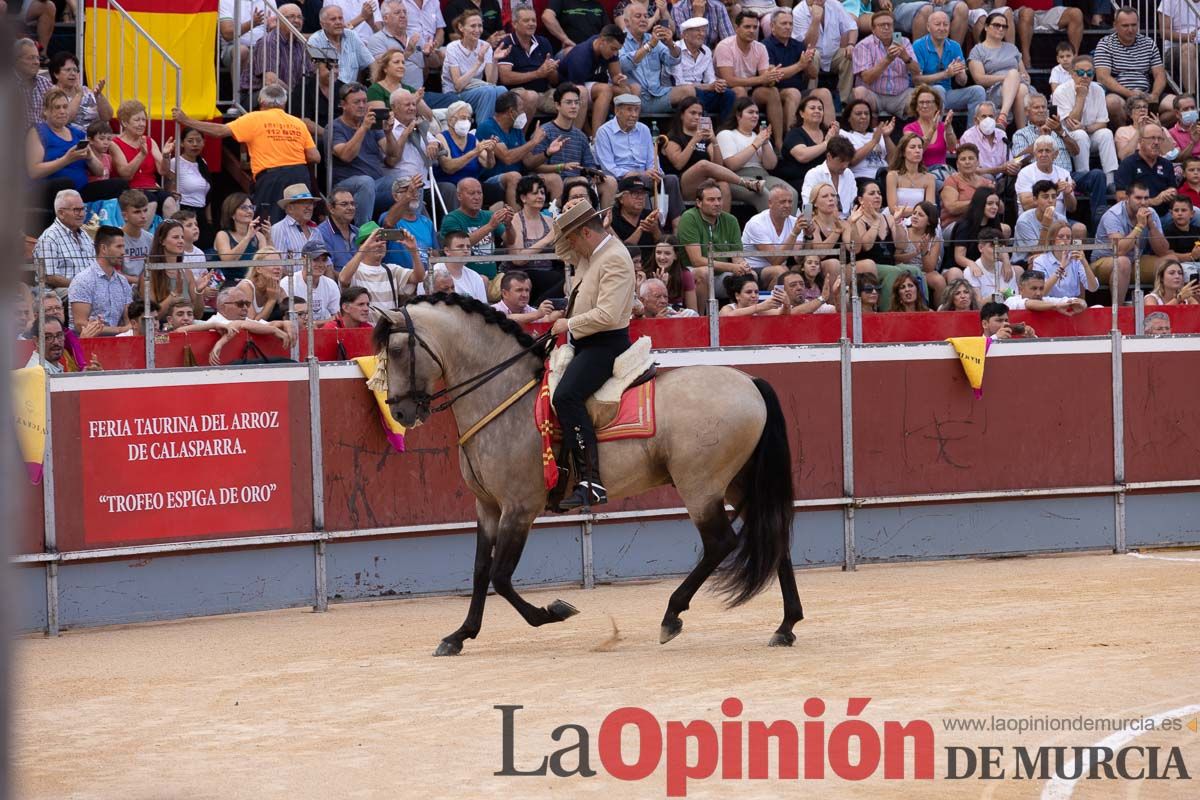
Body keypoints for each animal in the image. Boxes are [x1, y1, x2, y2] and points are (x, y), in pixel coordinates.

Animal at [372, 293, 806, 657]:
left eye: (397, 349)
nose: (400, 411)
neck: (504, 394)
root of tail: (749, 381)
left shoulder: (519, 507)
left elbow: (501, 576)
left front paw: (552, 611)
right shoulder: (488, 507)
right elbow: (480, 572)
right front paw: (460, 635)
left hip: (700, 487)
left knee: (720, 543)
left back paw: (672, 615)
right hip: (739, 483)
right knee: (774, 534)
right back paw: (786, 625)